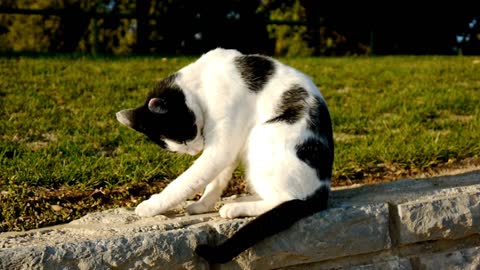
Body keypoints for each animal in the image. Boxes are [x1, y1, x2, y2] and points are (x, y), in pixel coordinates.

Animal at [116, 48, 334, 264]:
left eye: (186, 136)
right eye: (177, 147)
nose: (195, 150)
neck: (202, 82)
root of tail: (322, 190)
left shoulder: (221, 146)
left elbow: (187, 181)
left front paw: (152, 206)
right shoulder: (231, 145)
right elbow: (216, 180)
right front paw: (202, 205)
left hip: (264, 139)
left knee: (286, 200)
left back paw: (234, 208)